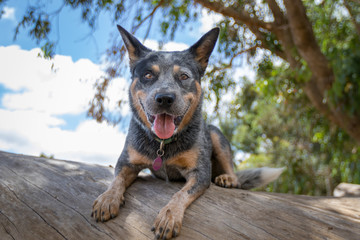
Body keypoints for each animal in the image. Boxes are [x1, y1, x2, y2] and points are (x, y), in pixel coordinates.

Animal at [91, 25, 282, 239]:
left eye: (184, 76)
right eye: (148, 75)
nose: (164, 98)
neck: (162, 145)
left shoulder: (200, 173)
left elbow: (180, 194)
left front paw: (169, 216)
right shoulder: (127, 163)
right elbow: (116, 180)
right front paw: (107, 198)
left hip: (215, 133)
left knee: (232, 170)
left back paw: (228, 179)